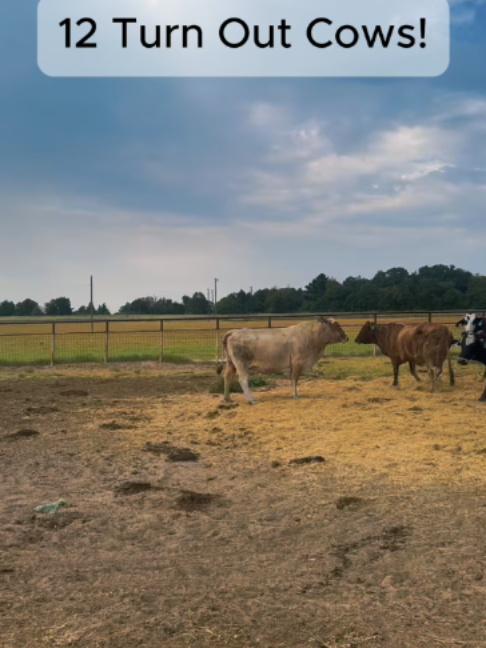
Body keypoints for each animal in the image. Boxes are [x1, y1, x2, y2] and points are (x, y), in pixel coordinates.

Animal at [216, 316, 348, 404]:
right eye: (336, 325)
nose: (346, 338)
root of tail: (233, 331)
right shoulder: (297, 362)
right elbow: (294, 379)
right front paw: (295, 396)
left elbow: (294, 379)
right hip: (241, 364)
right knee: (243, 379)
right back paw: (251, 400)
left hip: (231, 363)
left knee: (227, 377)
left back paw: (227, 399)